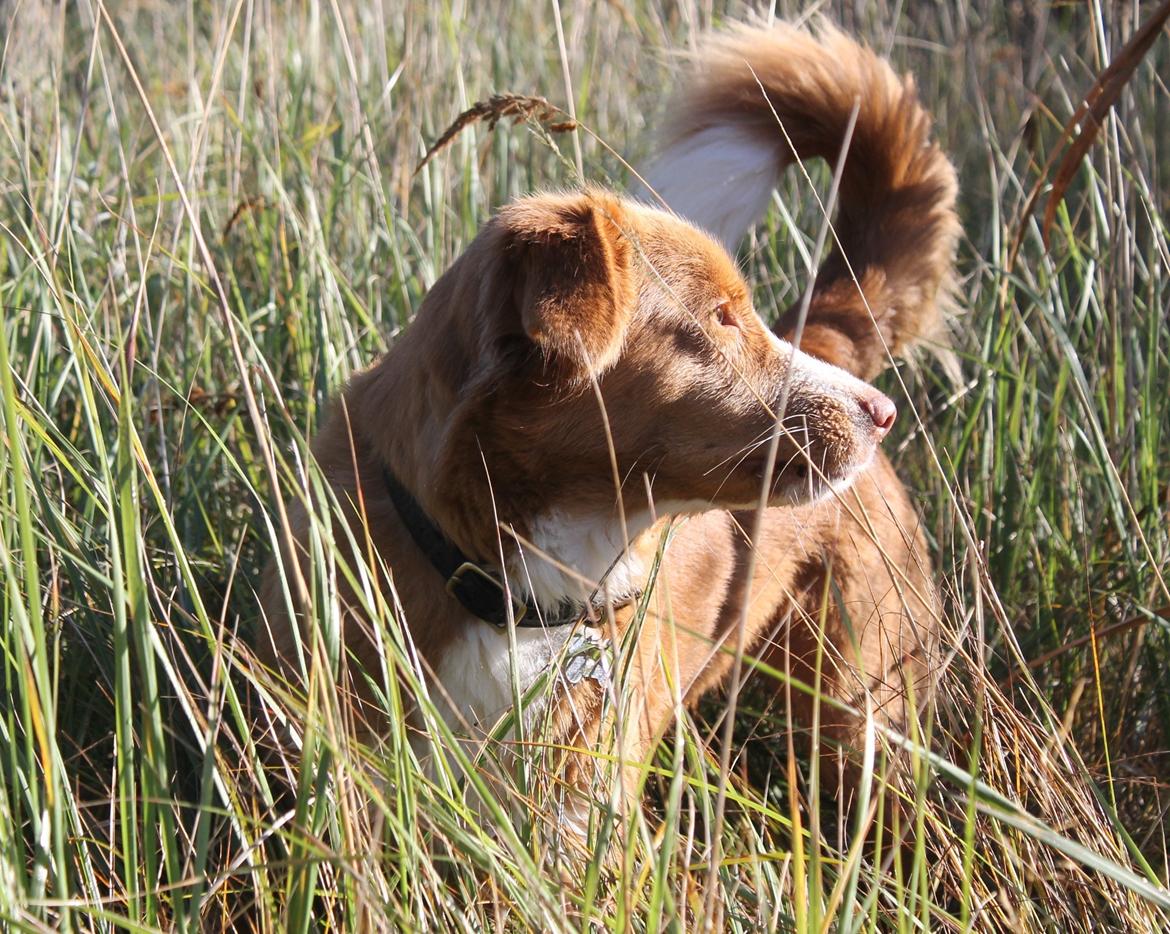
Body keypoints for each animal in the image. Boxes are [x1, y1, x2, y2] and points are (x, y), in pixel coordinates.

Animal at [253, 20, 950, 842]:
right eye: (720, 317)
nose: (880, 413)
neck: (508, 587)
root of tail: (824, 337)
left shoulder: (581, 817)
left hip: (860, 701)